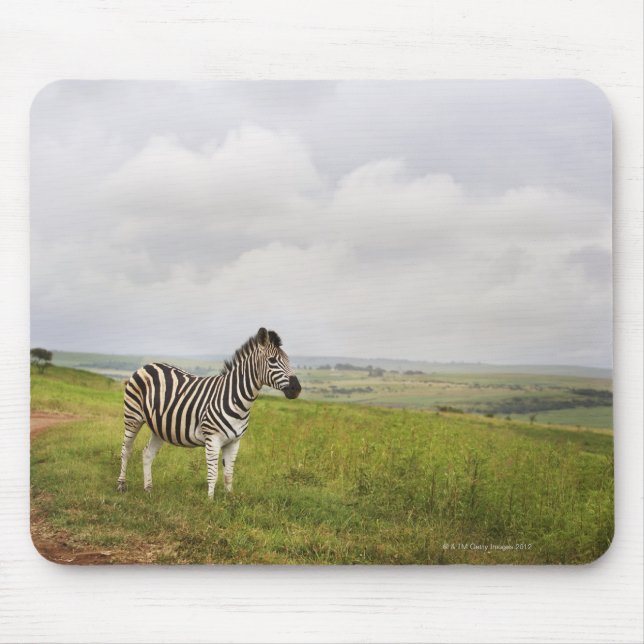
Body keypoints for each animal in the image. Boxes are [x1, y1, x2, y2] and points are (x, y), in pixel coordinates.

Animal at [116, 327, 301, 498]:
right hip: (133, 417)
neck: (235, 399)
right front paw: (210, 502)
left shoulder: (234, 442)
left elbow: (228, 474)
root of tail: (148, 365)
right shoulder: (212, 439)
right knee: (126, 450)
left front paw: (229, 500)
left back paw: (148, 489)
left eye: (288, 360)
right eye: (272, 360)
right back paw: (121, 485)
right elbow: (213, 475)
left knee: (147, 453)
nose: (297, 388)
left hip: (159, 426)